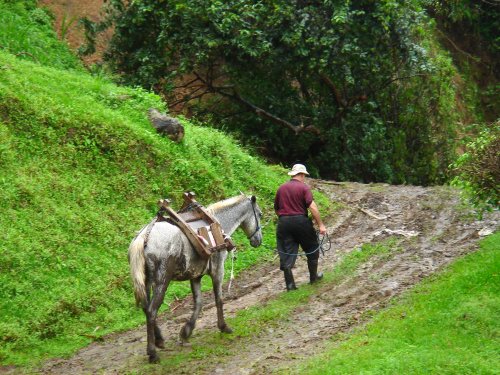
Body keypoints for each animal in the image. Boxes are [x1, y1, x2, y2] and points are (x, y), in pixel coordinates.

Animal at [127, 195, 264, 362]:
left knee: (146, 308)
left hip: (146, 283)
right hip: (161, 282)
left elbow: (198, 303)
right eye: (260, 214)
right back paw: (152, 353)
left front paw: (186, 332)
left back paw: (159, 340)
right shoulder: (218, 270)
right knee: (152, 311)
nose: (258, 240)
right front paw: (223, 326)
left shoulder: (196, 275)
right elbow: (219, 299)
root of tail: (143, 237)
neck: (215, 224)